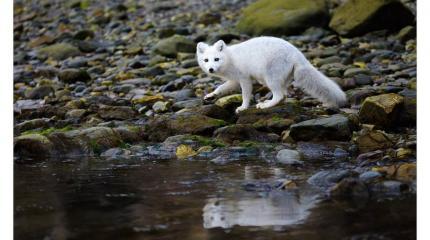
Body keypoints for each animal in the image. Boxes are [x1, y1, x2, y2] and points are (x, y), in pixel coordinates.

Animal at [197, 36, 348, 113]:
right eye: (206, 60)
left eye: (216, 59)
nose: (211, 69)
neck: (230, 58)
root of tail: (297, 53)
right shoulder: (234, 80)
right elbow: (221, 88)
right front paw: (211, 96)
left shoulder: (244, 78)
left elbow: (245, 95)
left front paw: (243, 107)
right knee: (284, 95)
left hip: (270, 77)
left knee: (279, 95)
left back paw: (265, 105)